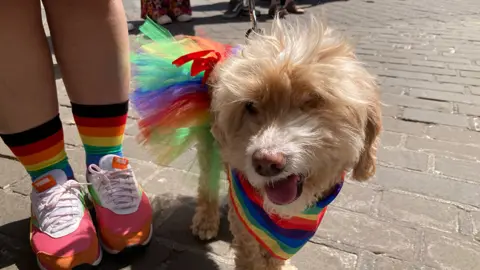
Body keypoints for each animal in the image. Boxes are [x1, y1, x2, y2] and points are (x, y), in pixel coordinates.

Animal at [189, 16, 380, 270]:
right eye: (250, 105)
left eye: (313, 101)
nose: (266, 162)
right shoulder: (245, 226)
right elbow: (250, 256)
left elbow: (274, 256)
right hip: (211, 145)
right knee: (206, 181)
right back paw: (206, 220)